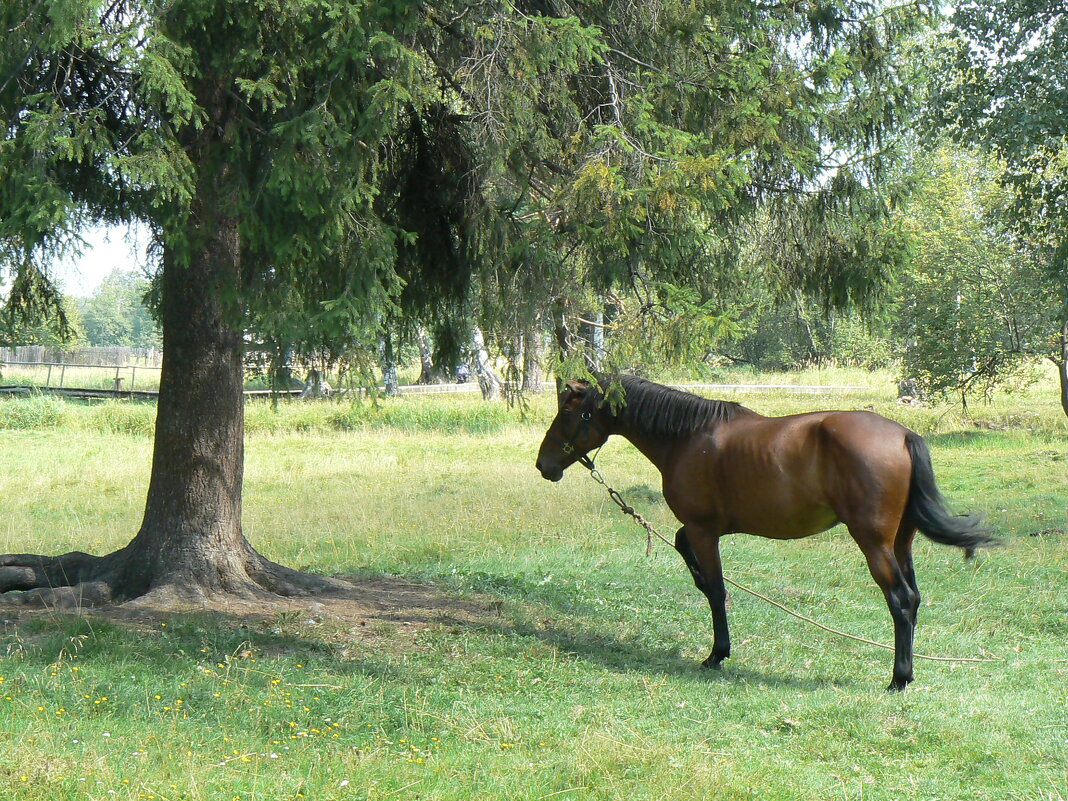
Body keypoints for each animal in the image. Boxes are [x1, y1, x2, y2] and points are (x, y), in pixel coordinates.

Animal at [538, 375, 995, 692]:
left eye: (568, 412)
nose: (544, 465)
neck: (688, 437)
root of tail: (902, 434)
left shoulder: (705, 531)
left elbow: (716, 590)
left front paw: (717, 654)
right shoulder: (704, 530)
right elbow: (689, 555)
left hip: (874, 543)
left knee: (900, 600)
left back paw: (898, 678)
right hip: (901, 542)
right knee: (914, 598)